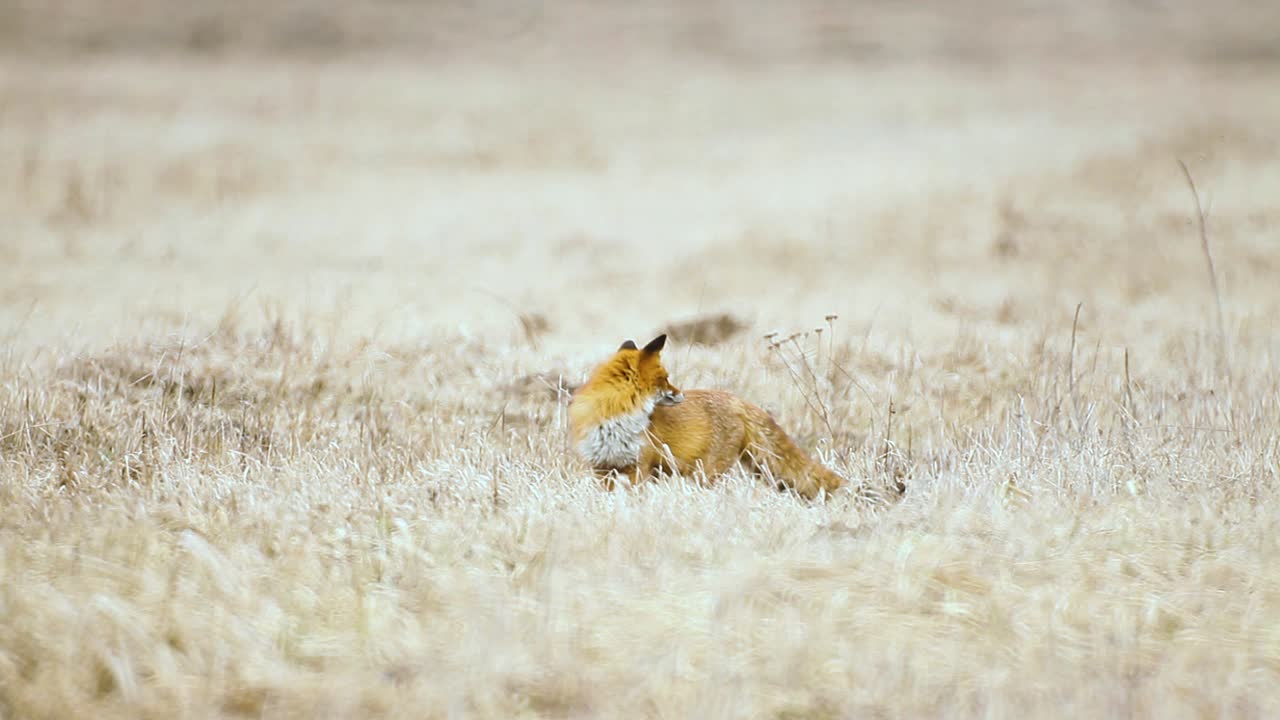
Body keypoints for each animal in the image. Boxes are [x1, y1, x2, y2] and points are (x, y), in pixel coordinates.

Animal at [568, 333, 846, 499]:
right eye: (666, 379)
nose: (680, 393)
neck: (613, 419)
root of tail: (737, 400)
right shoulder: (602, 468)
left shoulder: (640, 468)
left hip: (706, 473)